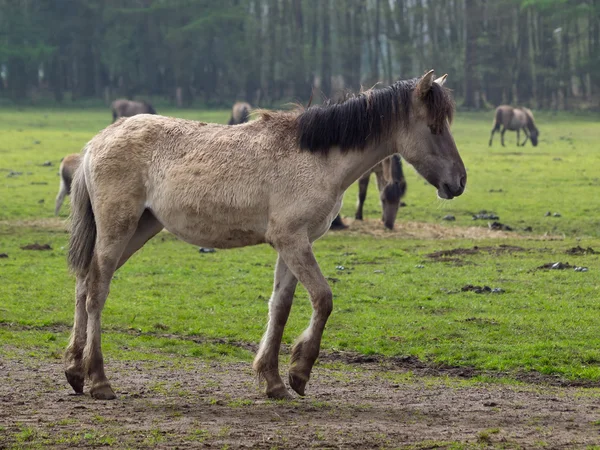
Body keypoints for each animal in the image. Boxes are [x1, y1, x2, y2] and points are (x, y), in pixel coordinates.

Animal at [67, 70, 468, 400]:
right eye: (434, 127)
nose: (459, 182)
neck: (316, 158)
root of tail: (98, 141)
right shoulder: (293, 242)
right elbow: (323, 299)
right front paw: (299, 373)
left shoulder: (293, 245)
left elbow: (281, 307)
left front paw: (272, 380)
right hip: (118, 229)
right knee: (97, 291)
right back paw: (99, 380)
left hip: (141, 229)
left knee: (85, 284)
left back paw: (74, 370)